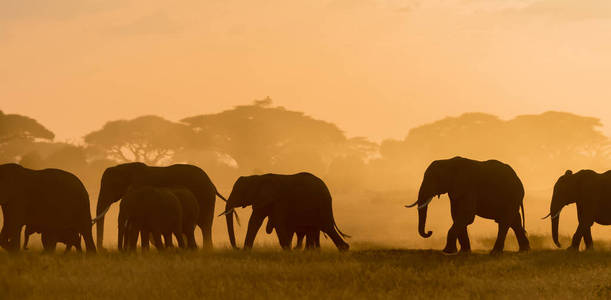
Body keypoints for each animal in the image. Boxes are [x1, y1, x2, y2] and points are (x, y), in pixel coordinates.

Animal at [94, 163, 228, 250]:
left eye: (111, 185)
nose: (104, 249)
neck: (124, 168)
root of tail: (211, 183)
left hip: (205, 197)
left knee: (204, 225)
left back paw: (206, 249)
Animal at [222, 171, 352, 251]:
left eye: (239, 192)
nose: (237, 248)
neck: (258, 177)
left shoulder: (279, 200)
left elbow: (278, 222)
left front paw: (287, 250)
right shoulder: (263, 200)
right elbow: (255, 221)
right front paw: (246, 250)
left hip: (321, 204)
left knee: (326, 226)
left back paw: (343, 250)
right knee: (317, 227)